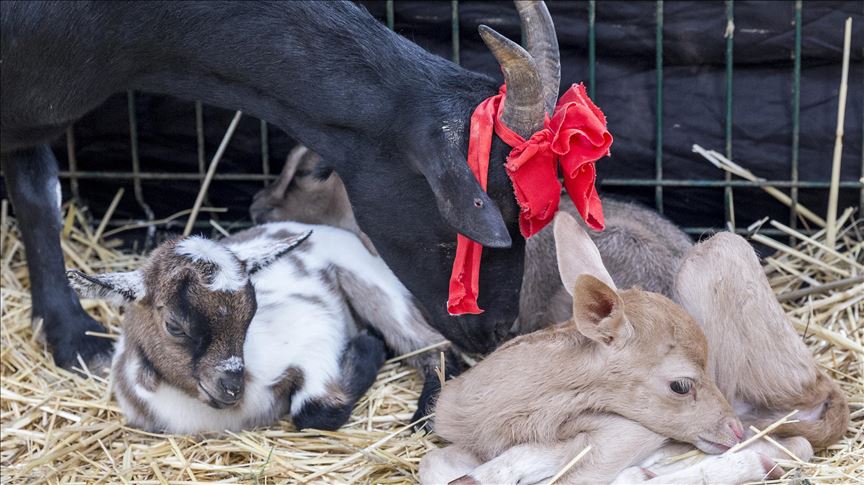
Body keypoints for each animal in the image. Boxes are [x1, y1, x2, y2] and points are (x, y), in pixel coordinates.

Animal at [0, 0, 564, 416]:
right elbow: (38, 198)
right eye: (498, 214)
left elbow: (39, 197)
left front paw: (69, 334)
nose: (500, 331)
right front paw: (76, 337)